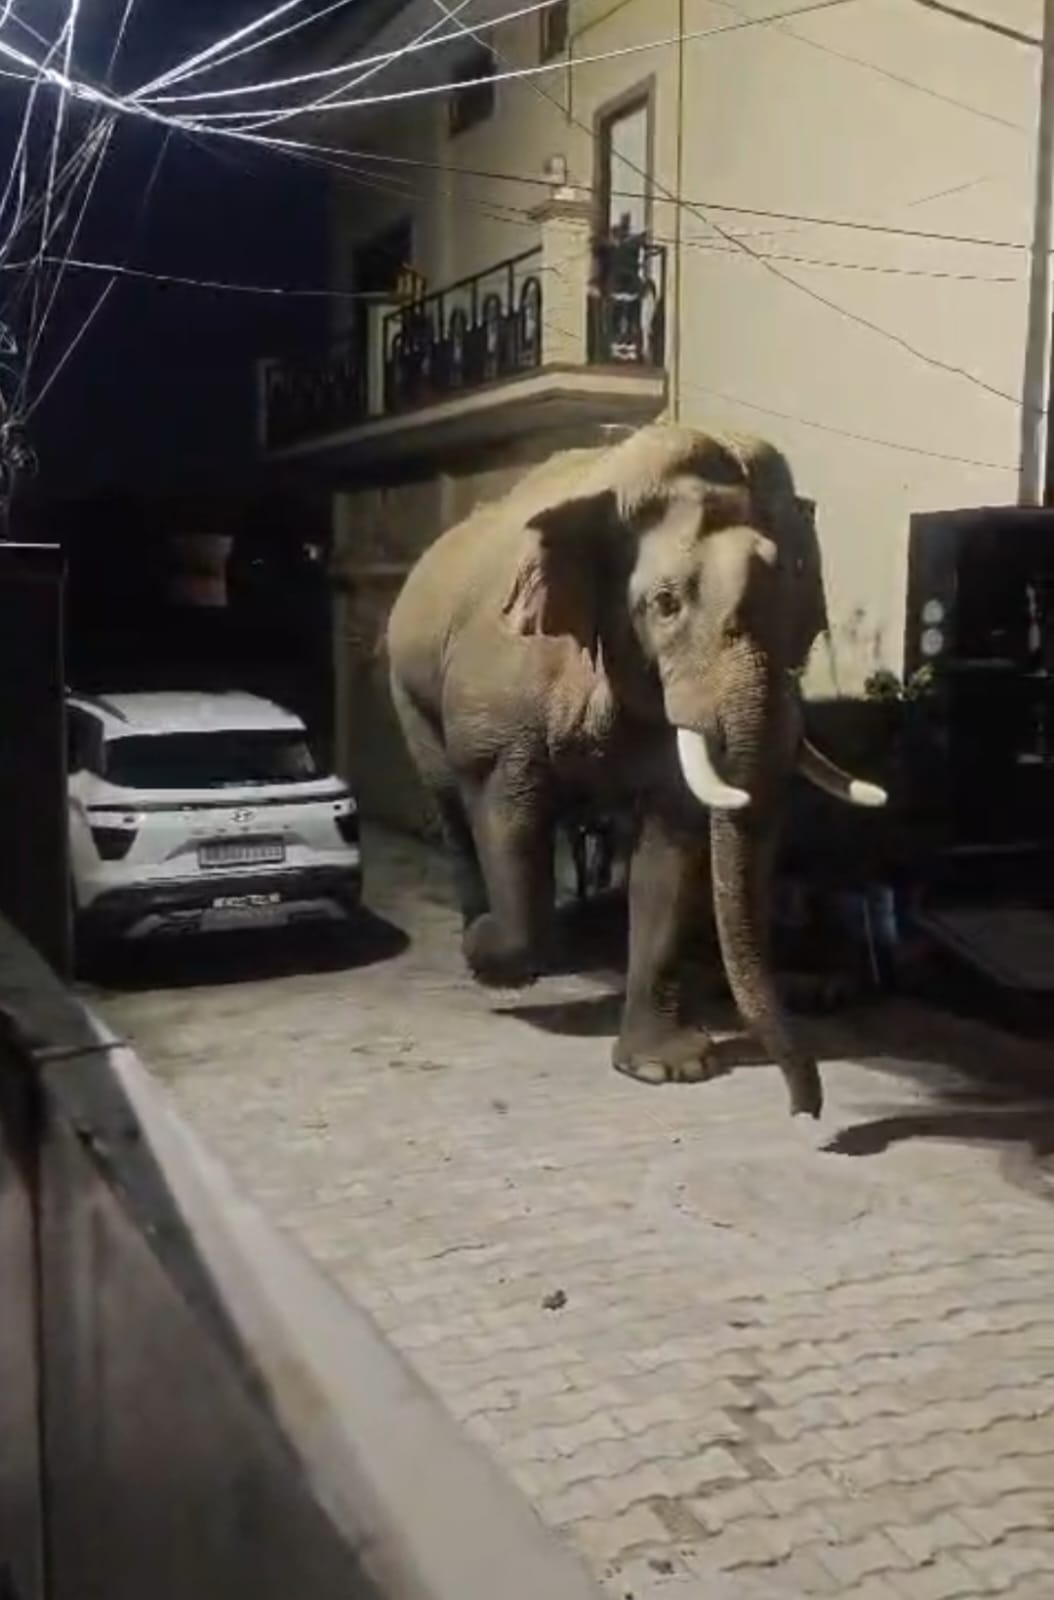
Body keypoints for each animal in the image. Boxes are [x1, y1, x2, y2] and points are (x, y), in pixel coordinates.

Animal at [386, 424, 886, 1118]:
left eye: (803, 606)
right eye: (667, 604)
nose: (805, 1110)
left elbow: (670, 851)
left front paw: (666, 1069)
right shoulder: (500, 697)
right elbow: (503, 805)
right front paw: (492, 953)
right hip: (408, 686)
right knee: (451, 807)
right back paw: (485, 940)